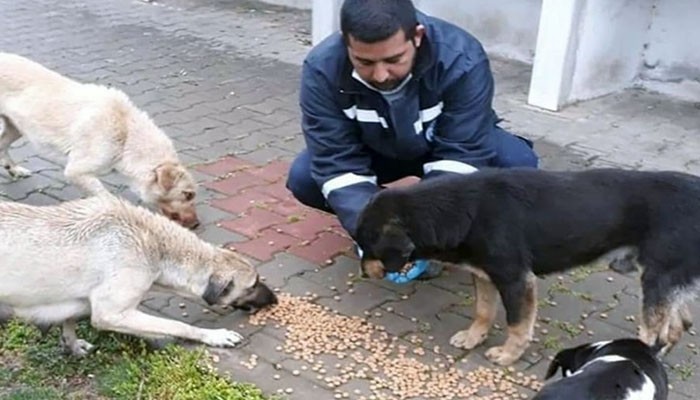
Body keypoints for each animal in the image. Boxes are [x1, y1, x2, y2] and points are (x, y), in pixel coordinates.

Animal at [0, 52, 202, 228]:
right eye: (188, 195)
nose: (197, 224)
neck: (126, 134)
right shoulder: (76, 172)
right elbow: (106, 196)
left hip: (16, 128)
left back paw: (14, 169)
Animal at [0, 197, 278, 356]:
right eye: (253, 284)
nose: (275, 300)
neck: (155, 245)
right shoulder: (112, 314)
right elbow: (178, 326)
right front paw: (214, 335)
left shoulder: (76, 301)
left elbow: (68, 323)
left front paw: (73, 346)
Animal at [356, 169, 700, 366]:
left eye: (366, 246)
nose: (362, 272)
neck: (463, 211)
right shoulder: (484, 275)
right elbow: (483, 311)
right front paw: (474, 337)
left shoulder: (516, 281)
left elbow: (517, 325)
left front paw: (508, 355)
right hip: (670, 281)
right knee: (678, 325)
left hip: (657, 280)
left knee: (656, 334)